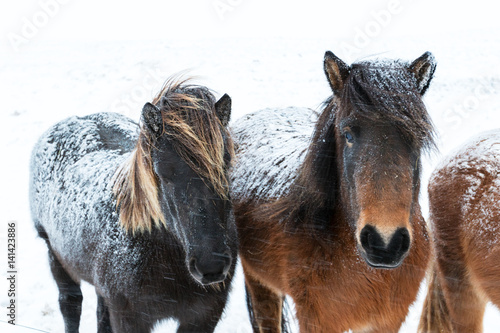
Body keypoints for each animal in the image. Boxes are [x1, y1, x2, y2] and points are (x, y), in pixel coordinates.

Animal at [29, 79, 238, 330]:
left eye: (225, 164)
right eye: (162, 172)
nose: (211, 265)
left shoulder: (204, 317)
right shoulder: (130, 319)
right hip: (56, 257)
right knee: (70, 304)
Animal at [230, 50, 438, 330]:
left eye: (416, 137)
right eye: (347, 134)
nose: (385, 243)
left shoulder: (387, 322)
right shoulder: (316, 321)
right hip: (260, 283)